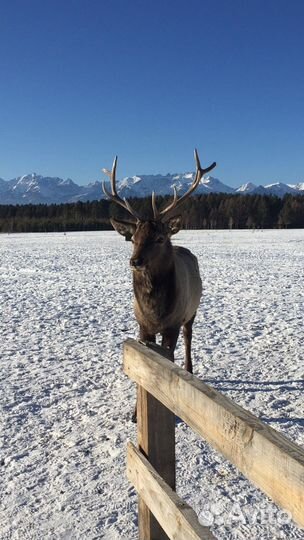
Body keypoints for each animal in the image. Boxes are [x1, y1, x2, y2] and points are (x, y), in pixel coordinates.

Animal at [102, 150, 216, 420]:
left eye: (160, 237)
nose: (135, 261)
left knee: (188, 338)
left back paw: (190, 370)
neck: (155, 310)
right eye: (133, 238)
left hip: (192, 311)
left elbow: (169, 361)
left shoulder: (172, 325)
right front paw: (135, 413)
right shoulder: (142, 325)